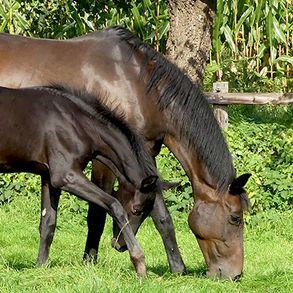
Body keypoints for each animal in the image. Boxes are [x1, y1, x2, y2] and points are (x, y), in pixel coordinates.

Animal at [0, 85, 161, 276]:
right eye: (137, 210)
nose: (119, 245)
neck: (77, 124)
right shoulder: (66, 176)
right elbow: (115, 205)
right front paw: (139, 263)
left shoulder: (49, 178)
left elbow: (48, 223)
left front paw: (41, 267)